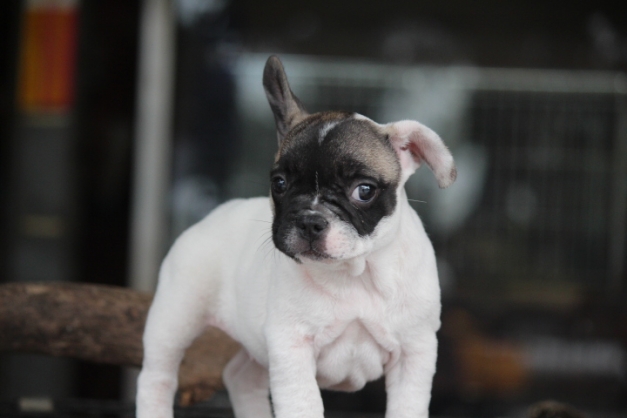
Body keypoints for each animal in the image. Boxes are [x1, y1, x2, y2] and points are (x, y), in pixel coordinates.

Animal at [136, 55, 456, 418]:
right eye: (279, 183)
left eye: (364, 190)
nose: (309, 221)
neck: (355, 274)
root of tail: (214, 214)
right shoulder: (291, 348)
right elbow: (302, 404)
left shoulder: (414, 352)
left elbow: (407, 406)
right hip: (175, 317)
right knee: (158, 376)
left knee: (240, 376)